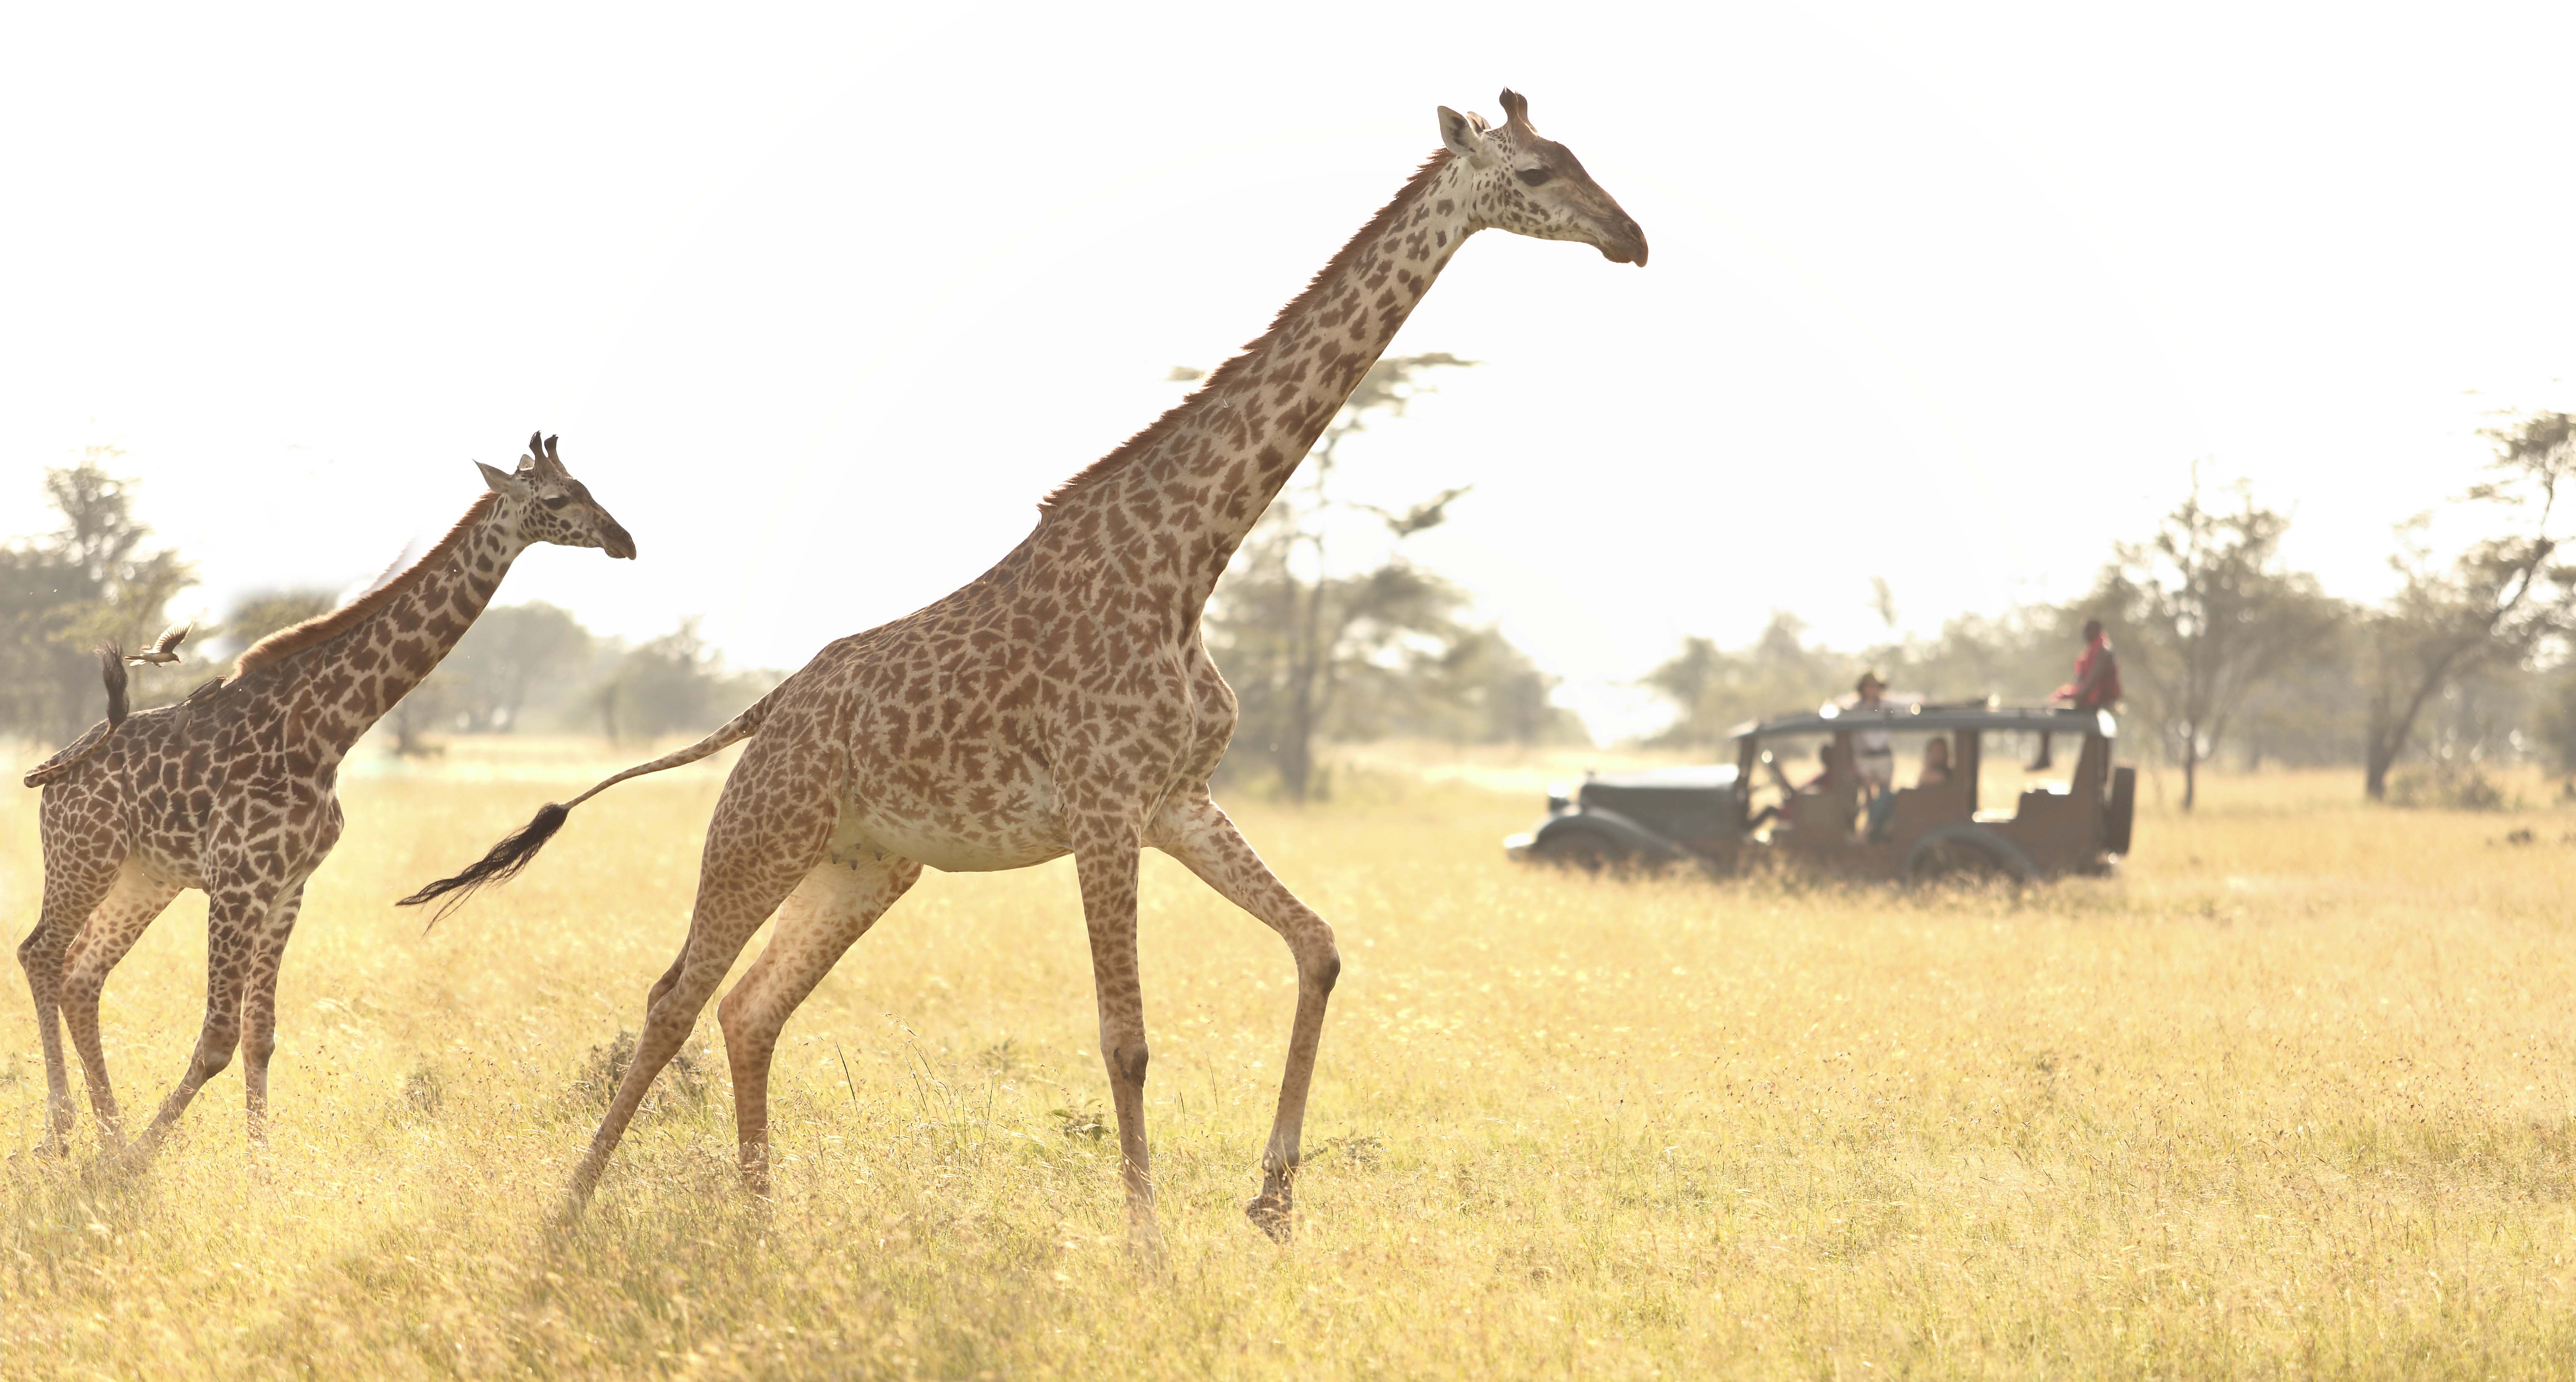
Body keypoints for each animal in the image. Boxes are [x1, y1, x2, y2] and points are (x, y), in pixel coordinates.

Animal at [16, 434, 634, 1155]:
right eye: (559, 499)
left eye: (590, 488)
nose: (624, 540)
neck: (326, 732)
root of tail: (52, 772)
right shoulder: (240, 883)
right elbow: (217, 1038)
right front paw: (145, 1158)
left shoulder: (288, 888)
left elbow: (259, 1037)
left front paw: (257, 1168)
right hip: (83, 858)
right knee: (41, 953)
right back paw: (66, 1131)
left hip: (145, 877)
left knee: (82, 973)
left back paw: (106, 1134)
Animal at [404, 89, 1645, 1248]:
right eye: (1536, 172)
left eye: (1580, 156)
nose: (1629, 237)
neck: (1188, 560)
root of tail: (764, 709)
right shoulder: (1104, 809)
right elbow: (1126, 1037)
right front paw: (1146, 1247)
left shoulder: (1176, 798)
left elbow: (1319, 945)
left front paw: (1271, 1199)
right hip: (762, 832)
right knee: (674, 996)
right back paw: (566, 1215)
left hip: (866, 863)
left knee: (752, 1009)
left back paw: (764, 1223)